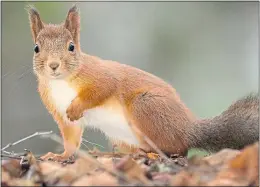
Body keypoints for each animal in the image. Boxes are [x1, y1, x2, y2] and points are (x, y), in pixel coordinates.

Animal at [26, 5, 258, 161]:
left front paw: (76, 108)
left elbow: (102, 89)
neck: (61, 83)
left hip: (146, 107)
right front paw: (60, 156)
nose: (53, 65)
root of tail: (188, 128)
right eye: (36, 48)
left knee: (178, 148)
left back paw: (149, 152)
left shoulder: (100, 76)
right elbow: (71, 138)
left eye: (71, 47)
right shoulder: (58, 111)